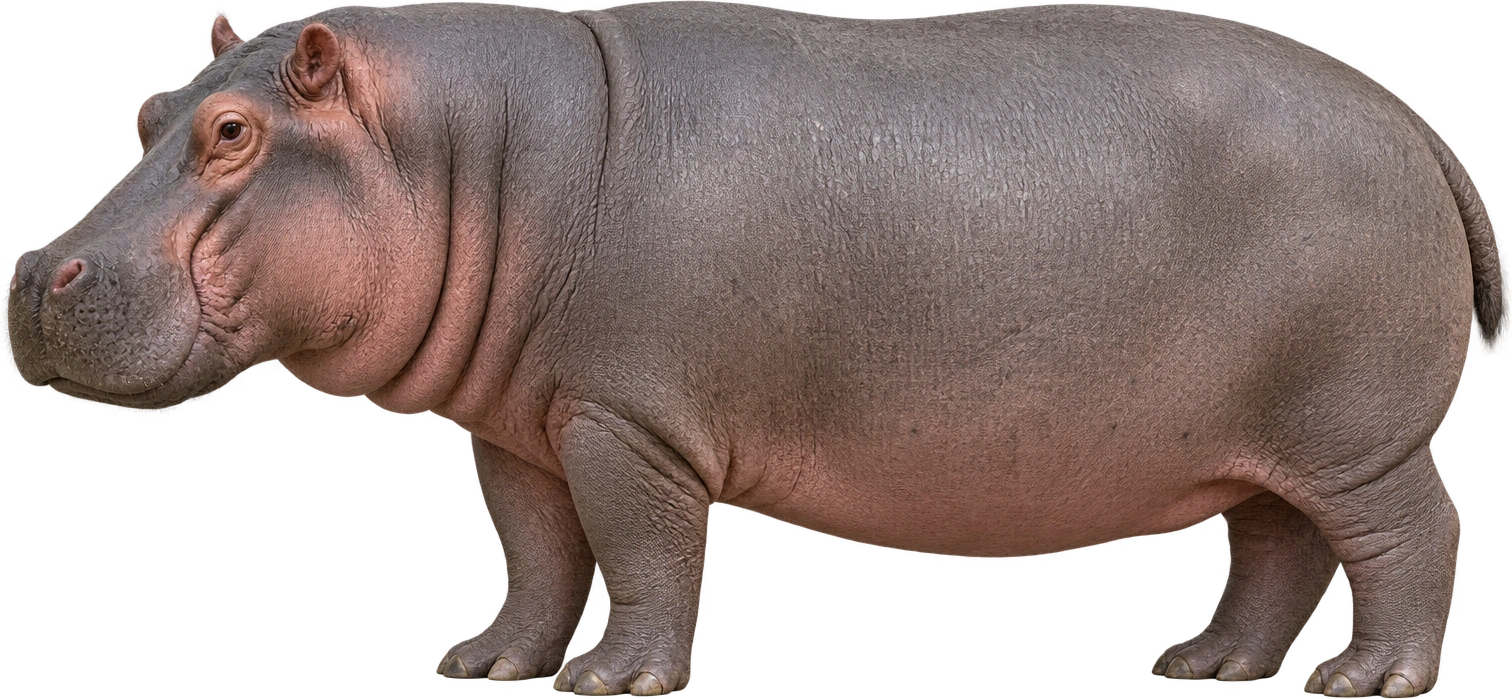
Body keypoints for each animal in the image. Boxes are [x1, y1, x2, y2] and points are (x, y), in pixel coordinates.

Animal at [7, 0, 1501, 695]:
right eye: (144, 111)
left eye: (232, 134)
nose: (29, 272)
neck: (463, 145)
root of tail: (1416, 121)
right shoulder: (516, 429)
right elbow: (535, 555)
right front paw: (485, 661)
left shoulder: (627, 421)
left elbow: (636, 553)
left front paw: (610, 678)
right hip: (1258, 435)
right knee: (1269, 542)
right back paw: (1202, 663)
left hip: (1356, 430)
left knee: (1408, 531)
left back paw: (1367, 678)